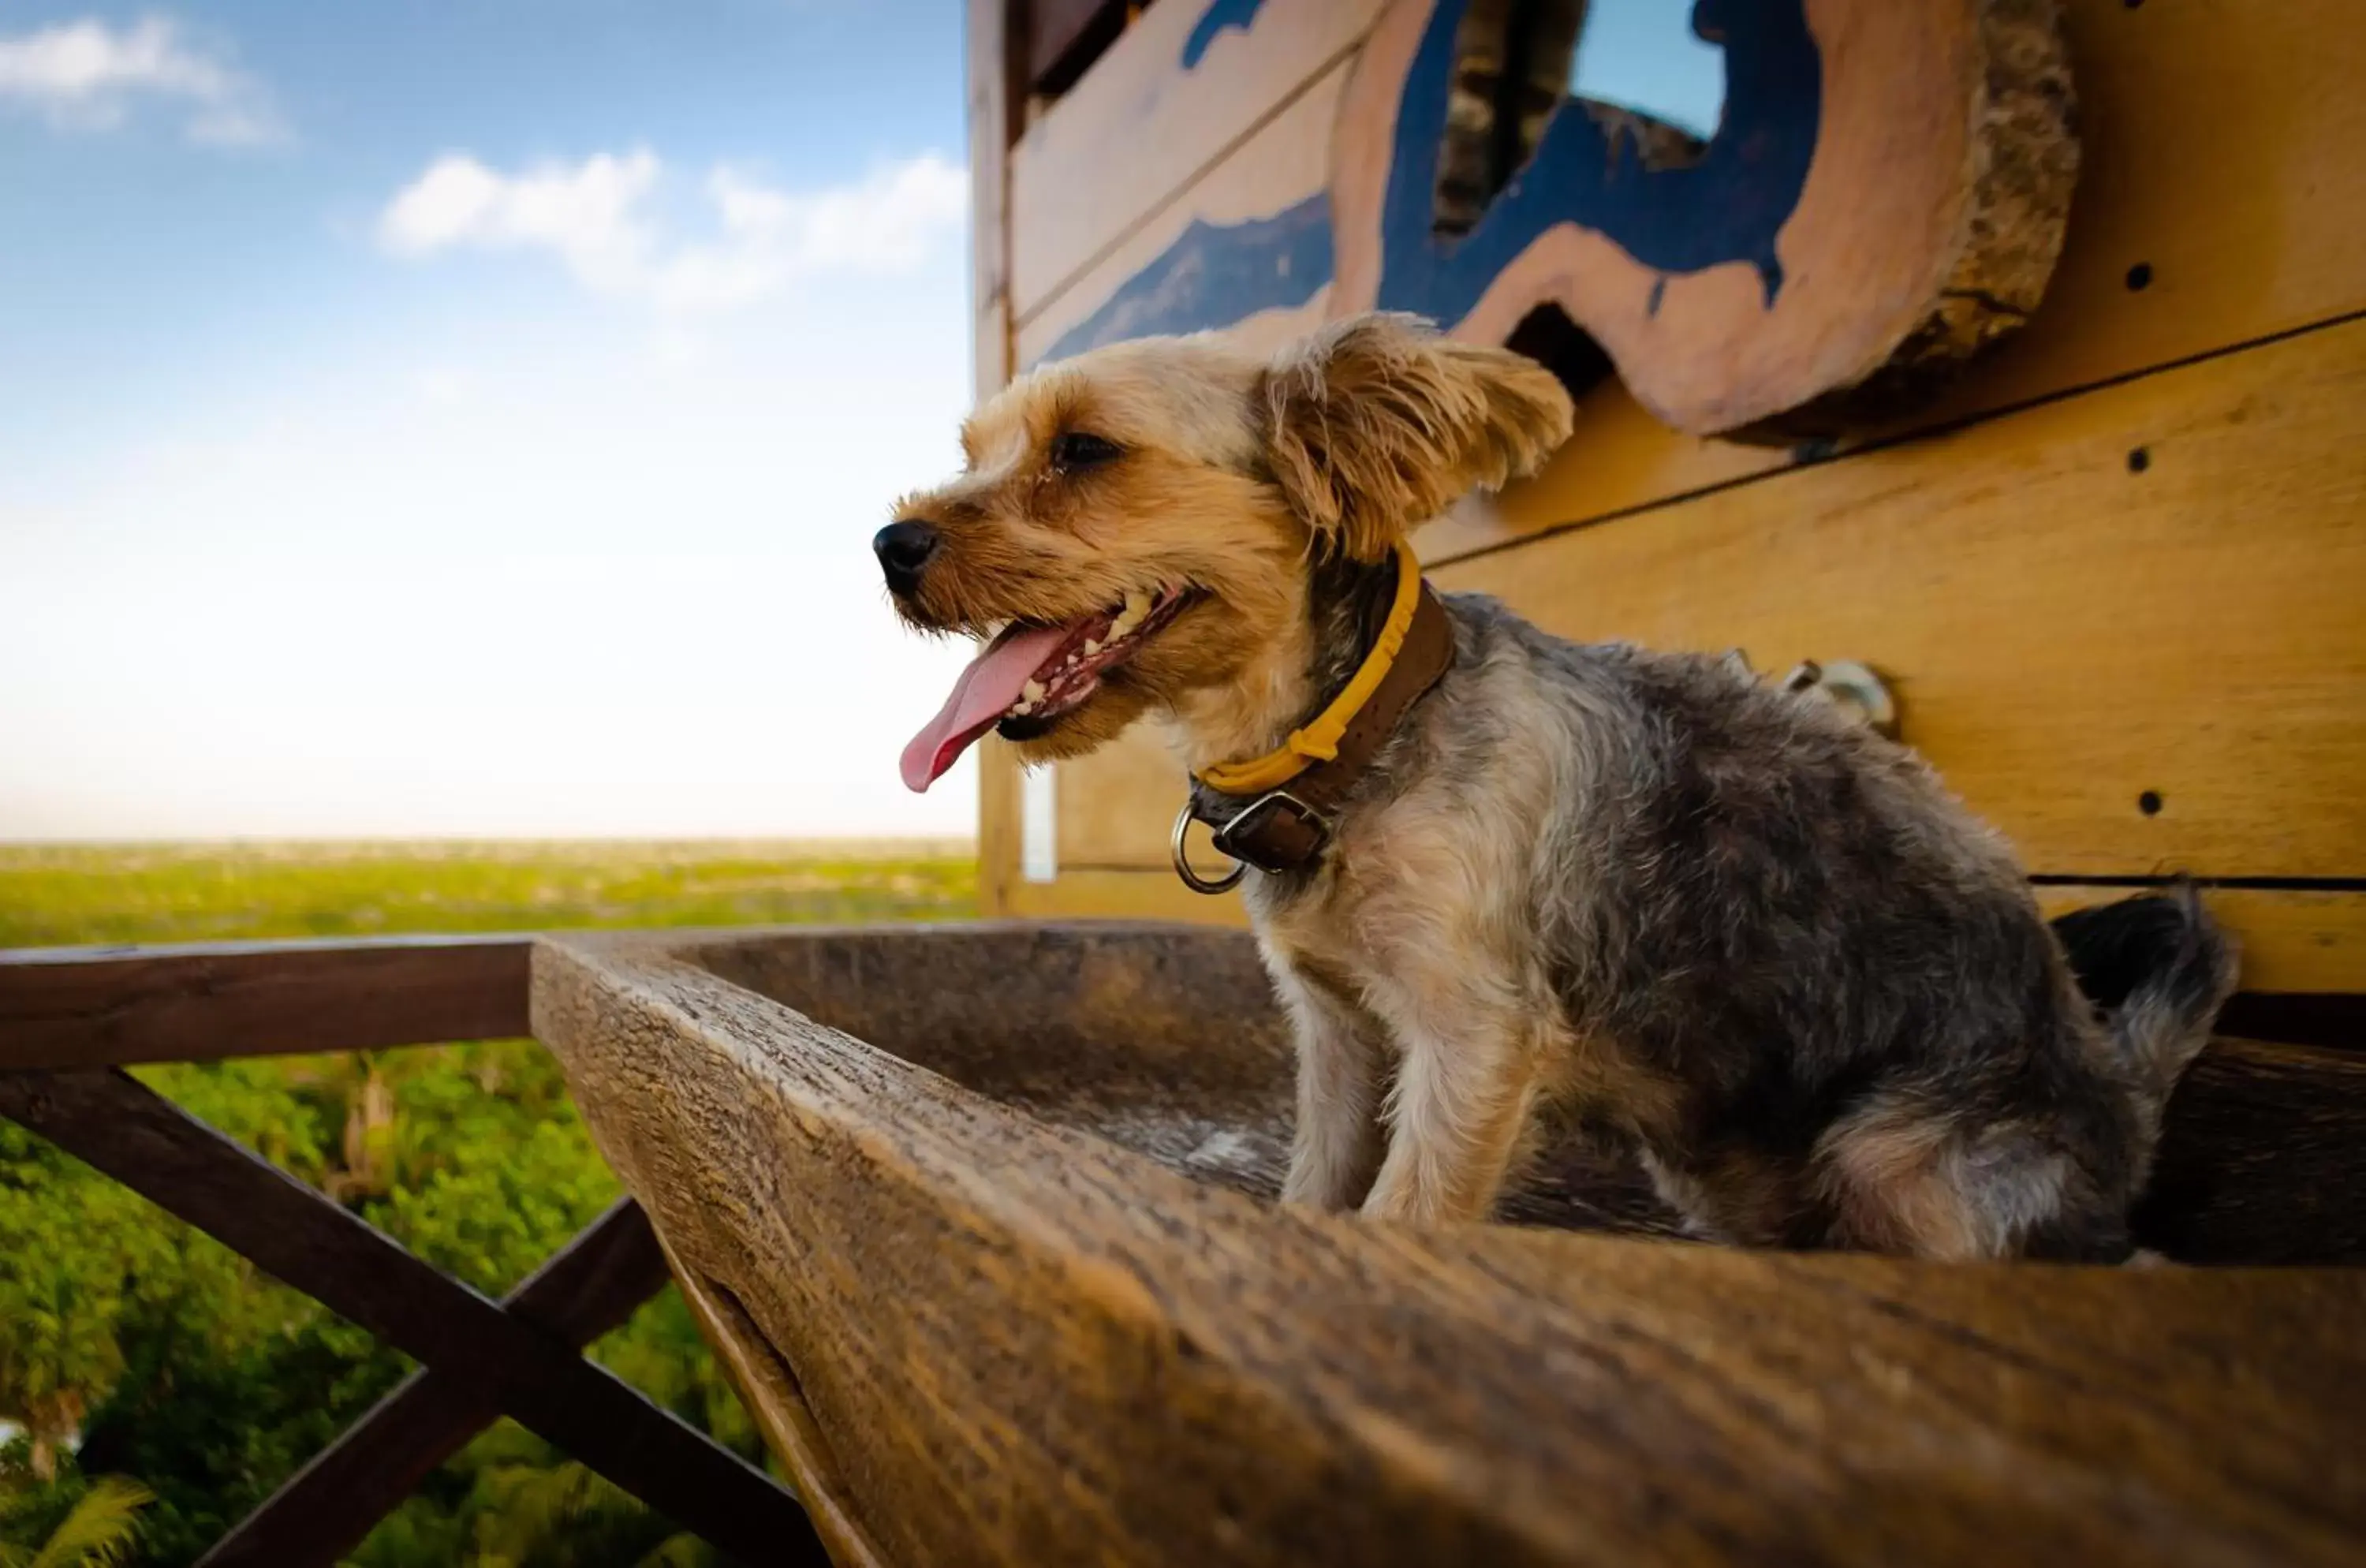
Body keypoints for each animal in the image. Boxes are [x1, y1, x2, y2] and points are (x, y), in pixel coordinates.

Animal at [890, 309, 2234, 1267]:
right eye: (974, 455)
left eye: (1085, 451)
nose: (890, 546)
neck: (1356, 738)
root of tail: (2124, 1087)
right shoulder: (1337, 1038)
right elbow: (1317, 1192)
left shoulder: (1470, 1043)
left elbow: (1405, 1215)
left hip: (1902, 1158)